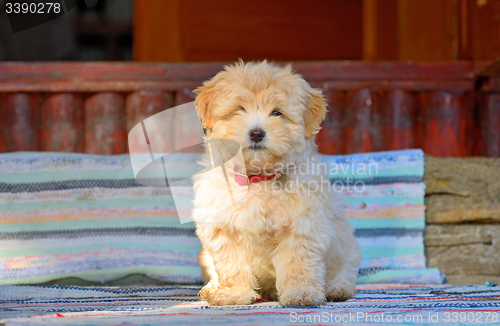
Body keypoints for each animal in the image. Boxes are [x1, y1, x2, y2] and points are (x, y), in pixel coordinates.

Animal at [190, 60, 360, 306]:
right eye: (239, 109)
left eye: (277, 112)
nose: (256, 133)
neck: (258, 177)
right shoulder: (222, 227)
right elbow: (231, 264)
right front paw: (234, 293)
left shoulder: (302, 225)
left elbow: (298, 263)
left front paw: (301, 293)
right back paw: (213, 287)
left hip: (346, 248)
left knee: (345, 270)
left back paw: (337, 288)